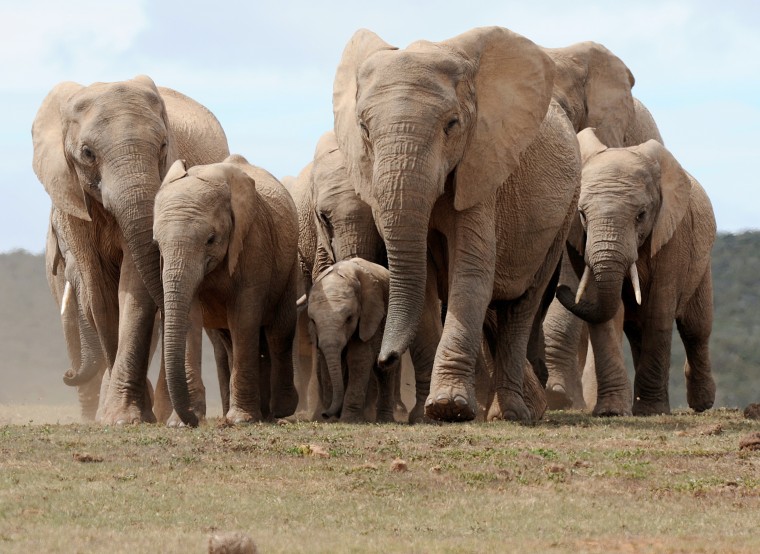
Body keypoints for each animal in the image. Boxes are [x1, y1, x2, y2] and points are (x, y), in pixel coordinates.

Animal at [31, 75, 229, 422]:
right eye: (87, 153)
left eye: (163, 146)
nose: (67, 375)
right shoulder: (71, 201)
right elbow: (100, 294)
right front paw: (120, 415)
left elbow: (134, 287)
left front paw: (126, 416)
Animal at [152, 152, 300, 422]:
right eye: (157, 243)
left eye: (211, 240)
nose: (193, 419)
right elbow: (191, 318)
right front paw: (179, 423)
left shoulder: (254, 241)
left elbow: (244, 316)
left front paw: (240, 419)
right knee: (231, 339)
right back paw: (263, 412)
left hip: (289, 265)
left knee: (279, 330)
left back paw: (280, 410)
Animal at [306, 258, 430, 422]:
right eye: (312, 321)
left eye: (349, 318)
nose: (325, 414)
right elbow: (327, 361)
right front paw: (333, 419)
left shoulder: (369, 315)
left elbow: (359, 359)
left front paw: (348, 420)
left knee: (384, 372)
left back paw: (384, 420)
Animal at [334, 28, 580, 420]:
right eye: (364, 129)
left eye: (452, 125)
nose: (385, 359)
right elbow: (425, 283)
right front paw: (429, 416)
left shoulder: (482, 166)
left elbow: (471, 271)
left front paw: (449, 407)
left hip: (565, 209)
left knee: (521, 305)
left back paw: (512, 414)